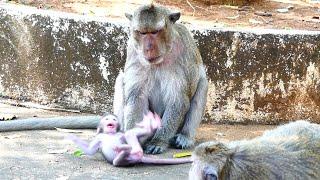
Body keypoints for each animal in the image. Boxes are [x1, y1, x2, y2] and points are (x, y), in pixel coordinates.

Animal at [116, 3, 209, 154]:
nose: (148, 48)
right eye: (142, 33)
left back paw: (185, 137)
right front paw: (132, 139)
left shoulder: (182, 55)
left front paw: (158, 141)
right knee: (120, 79)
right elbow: (137, 96)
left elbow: (178, 100)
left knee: (202, 84)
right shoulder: (134, 51)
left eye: (155, 32)